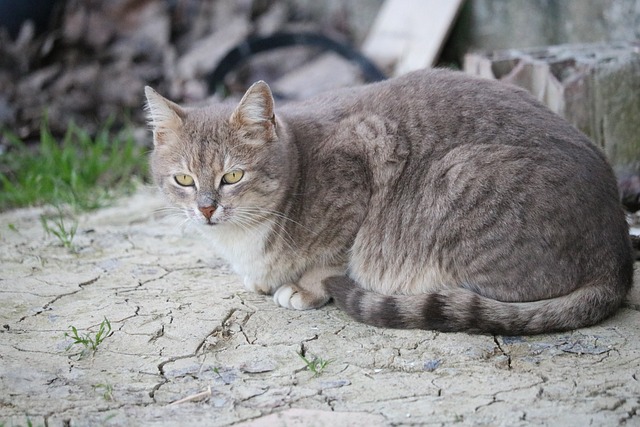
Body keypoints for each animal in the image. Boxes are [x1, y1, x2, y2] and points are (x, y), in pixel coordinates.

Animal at [146, 68, 636, 336]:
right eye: (184, 179)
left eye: (232, 176)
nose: (207, 208)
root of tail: (616, 259)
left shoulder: (362, 166)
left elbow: (330, 258)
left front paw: (305, 285)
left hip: (457, 178)